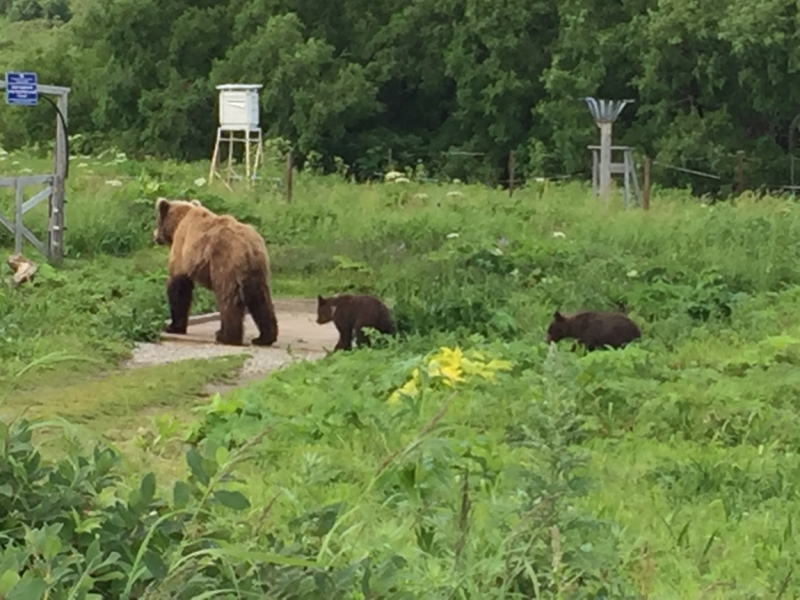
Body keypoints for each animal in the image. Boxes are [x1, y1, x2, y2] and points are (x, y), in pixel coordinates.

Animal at [152, 198, 278, 346]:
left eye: (157, 220)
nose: (154, 235)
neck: (178, 222)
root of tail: (248, 247)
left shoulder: (182, 247)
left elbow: (179, 285)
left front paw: (172, 327)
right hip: (257, 269)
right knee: (260, 298)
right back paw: (264, 338)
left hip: (224, 262)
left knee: (227, 298)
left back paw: (225, 336)